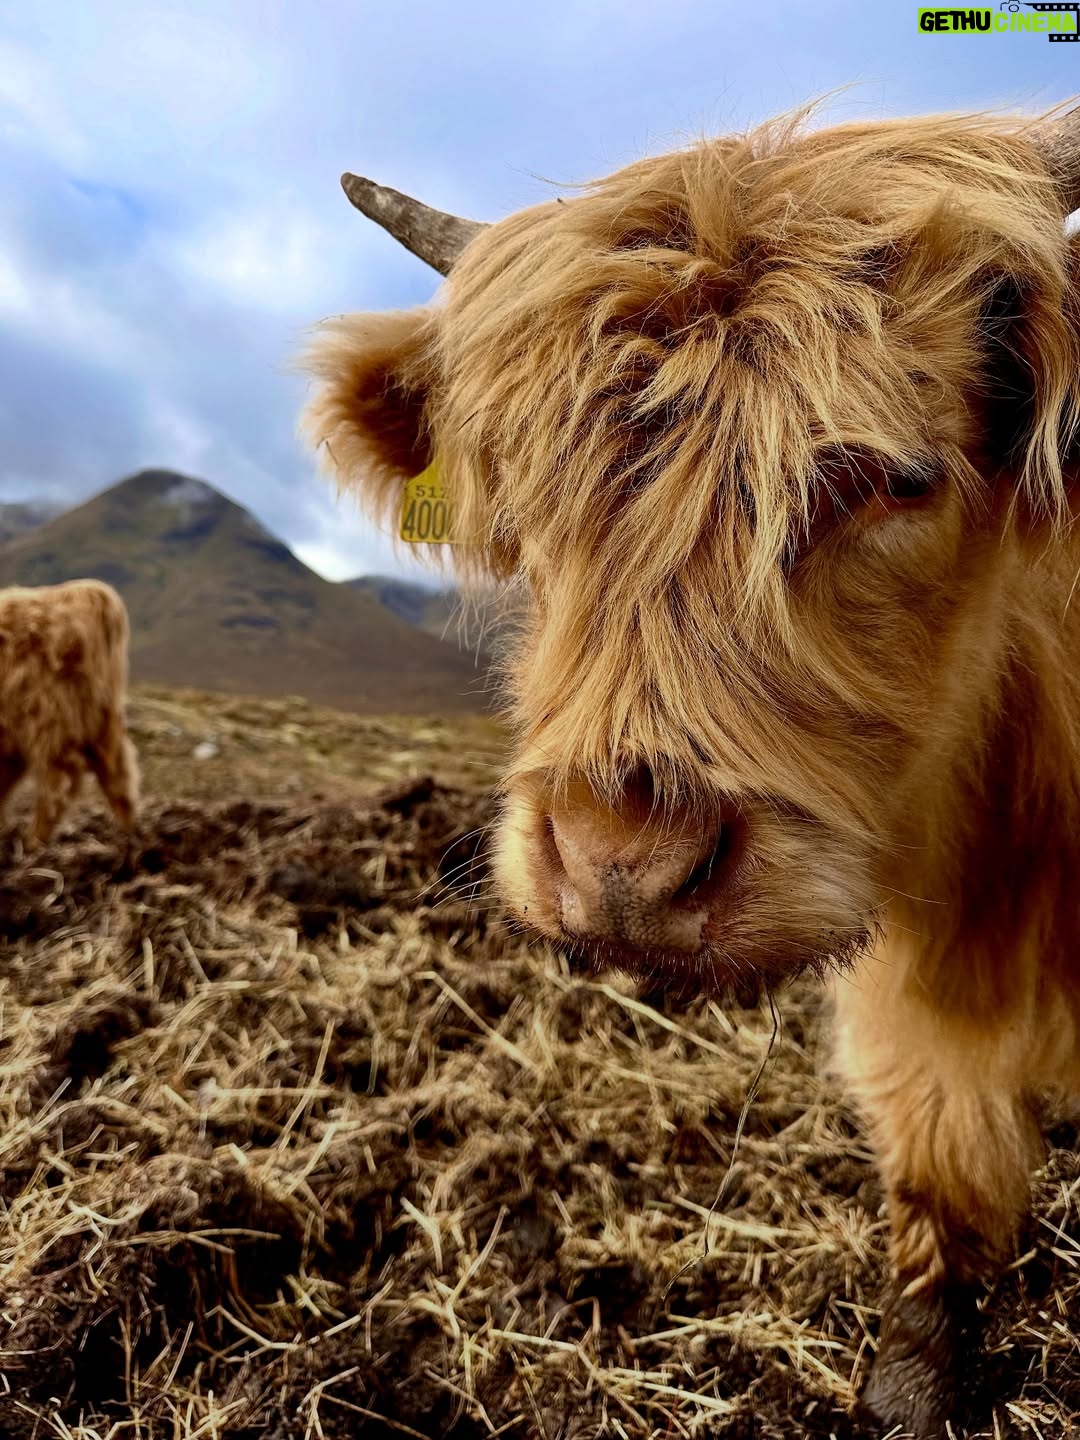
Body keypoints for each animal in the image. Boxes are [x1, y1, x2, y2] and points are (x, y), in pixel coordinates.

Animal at [0, 579, 139, 845]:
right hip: (101, 717)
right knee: (119, 775)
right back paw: (130, 836)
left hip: (48, 716)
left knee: (58, 782)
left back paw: (34, 844)